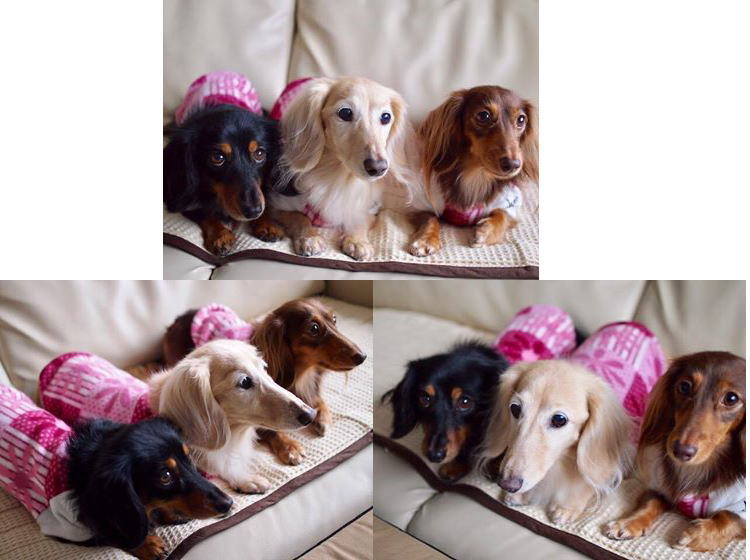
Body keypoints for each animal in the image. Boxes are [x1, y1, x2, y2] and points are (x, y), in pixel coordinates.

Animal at [158, 298, 366, 466]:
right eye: (313, 328)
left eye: (334, 319)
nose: (362, 356)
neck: (301, 373)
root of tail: (178, 319)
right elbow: (269, 428)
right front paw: (290, 447)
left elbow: (317, 401)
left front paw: (322, 417)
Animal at [163, 104, 281, 255]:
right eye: (217, 157)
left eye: (260, 153)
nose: (253, 211)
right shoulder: (182, 199)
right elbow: (206, 213)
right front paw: (220, 236)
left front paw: (267, 224)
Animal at [256, 76, 420, 260]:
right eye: (345, 113)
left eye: (386, 117)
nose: (378, 168)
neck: (340, 177)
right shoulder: (278, 205)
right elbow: (299, 217)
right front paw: (310, 237)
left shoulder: (371, 210)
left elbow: (359, 219)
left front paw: (357, 241)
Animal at [408, 85, 538, 255]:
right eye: (484, 115)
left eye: (521, 120)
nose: (513, 165)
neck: (476, 175)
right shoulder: (423, 203)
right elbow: (431, 218)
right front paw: (426, 239)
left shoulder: (510, 203)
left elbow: (502, 215)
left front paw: (486, 232)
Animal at [604, 351, 746, 552]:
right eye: (684, 386)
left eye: (731, 398)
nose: (680, 450)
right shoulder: (662, 487)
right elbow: (651, 502)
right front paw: (628, 523)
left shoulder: (740, 506)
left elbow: (729, 517)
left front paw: (697, 536)